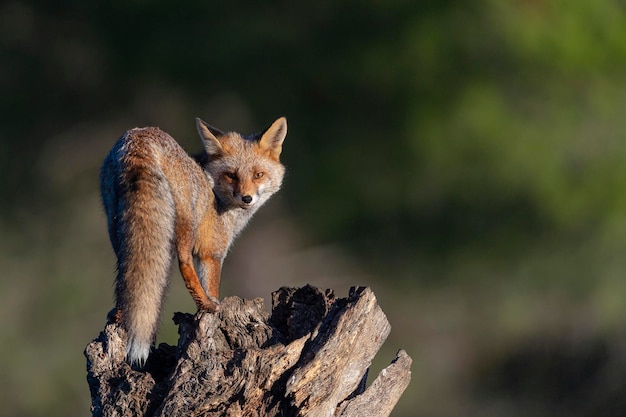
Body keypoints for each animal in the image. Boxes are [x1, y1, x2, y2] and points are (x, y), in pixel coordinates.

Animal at [100, 116, 288, 364]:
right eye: (231, 175)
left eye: (258, 174)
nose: (246, 198)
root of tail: (139, 137)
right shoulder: (212, 253)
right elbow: (212, 285)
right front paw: (211, 308)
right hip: (185, 222)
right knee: (184, 263)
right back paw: (208, 305)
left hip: (117, 225)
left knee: (126, 275)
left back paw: (120, 315)